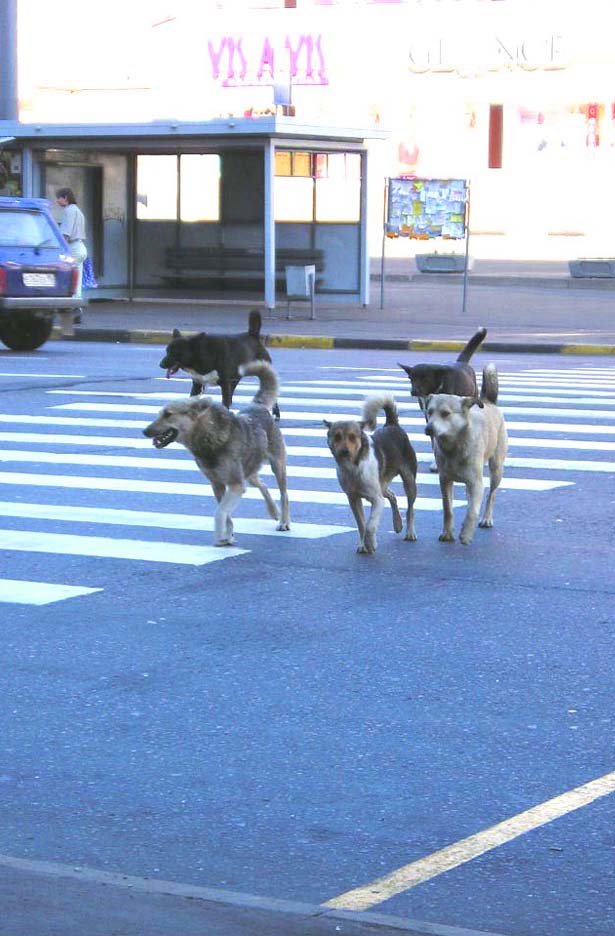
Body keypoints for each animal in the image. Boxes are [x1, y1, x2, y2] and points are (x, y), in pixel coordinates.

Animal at [143, 360, 290, 548]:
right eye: (159, 414)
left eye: (168, 414)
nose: (144, 431)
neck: (209, 438)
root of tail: (258, 405)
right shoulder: (218, 484)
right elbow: (226, 513)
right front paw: (228, 536)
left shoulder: (235, 484)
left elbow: (220, 512)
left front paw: (221, 536)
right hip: (249, 471)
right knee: (262, 484)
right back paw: (273, 511)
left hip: (276, 465)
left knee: (284, 494)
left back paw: (284, 521)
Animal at [322, 392, 418, 552]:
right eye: (337, 436)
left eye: (353, 437)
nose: (344, 452)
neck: (353, 467)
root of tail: (392, 425)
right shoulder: (353, 499)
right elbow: (361, 525)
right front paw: (363, 545)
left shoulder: (376, 499)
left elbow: (370, 525)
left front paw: (371, 544)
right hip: (382, 484)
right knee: (392, 495)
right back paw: (397, 524)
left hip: (409, 480)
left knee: (410, 510)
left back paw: (410, 532)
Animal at [426, 362, 508, 544]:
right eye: (429, 412)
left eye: (445, 414)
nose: (428, 429)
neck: (453, 447)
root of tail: (487, 401)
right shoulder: (445, 481)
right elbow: (448, 509)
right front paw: (447, 533)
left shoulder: (477, 483)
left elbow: (472, 511)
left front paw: (465, 534)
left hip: (496, 468)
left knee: (491, 495)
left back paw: (486, 519)